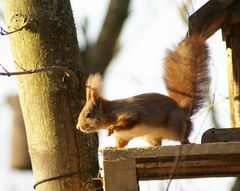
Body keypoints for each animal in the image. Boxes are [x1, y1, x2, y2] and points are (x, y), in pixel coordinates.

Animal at [76, 36, 208, 149]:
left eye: (88, 115)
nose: (79, 127)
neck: (110, 112)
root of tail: (184, 113)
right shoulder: (123, 136)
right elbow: (121, 144)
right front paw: (111, 147)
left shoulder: (130, 112)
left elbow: (127, 121)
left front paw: (113, 127)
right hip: (151, 135)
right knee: (157, 143)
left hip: (176, 126)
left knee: (183, 136)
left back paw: (187, 142)